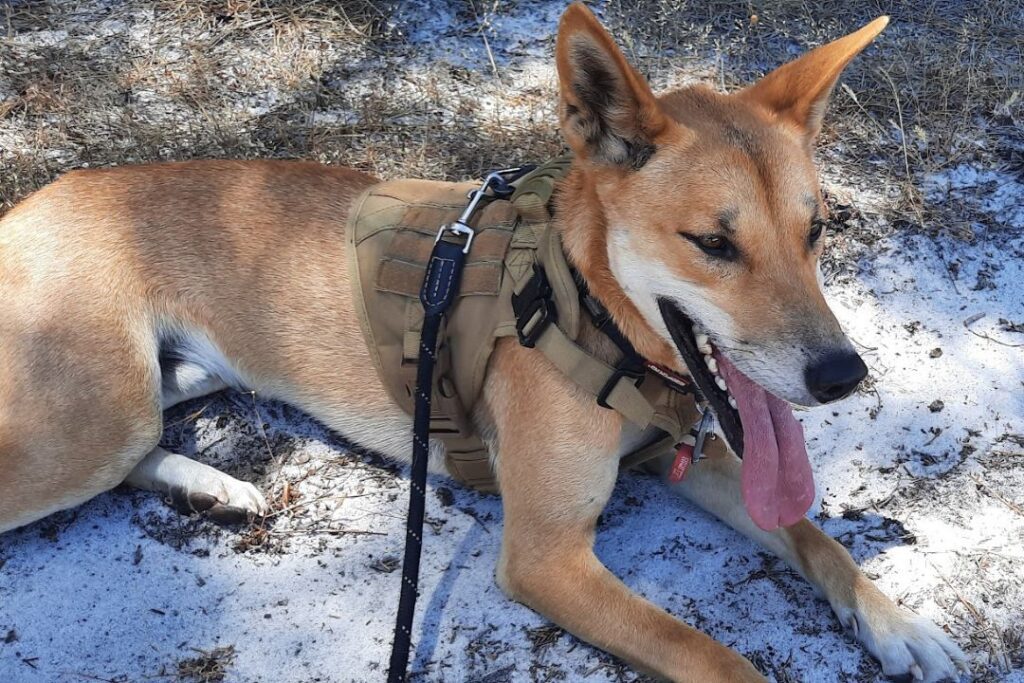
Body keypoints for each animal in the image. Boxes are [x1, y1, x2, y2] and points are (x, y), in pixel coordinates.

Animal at [0, 5, 962, 683]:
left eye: (818, 230)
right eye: (713, 243)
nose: (843, 374)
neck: (585, 308)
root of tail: (31, 203)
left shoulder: (682, 459)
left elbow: (812, 533)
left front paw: (899, 623)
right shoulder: (547, 557)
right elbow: (715, 654)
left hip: (171, 379)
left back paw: (212, 487)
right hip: (95, 418)